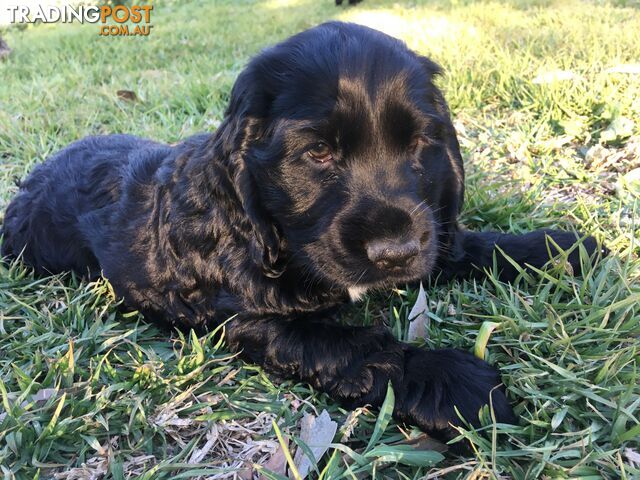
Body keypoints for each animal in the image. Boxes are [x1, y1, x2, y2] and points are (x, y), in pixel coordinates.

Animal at [1, 22, 600, 442]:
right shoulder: (253, 319)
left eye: (418, 145)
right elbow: (355, 345)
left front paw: (558, 247)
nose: (397, 251)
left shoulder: (431, 232)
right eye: (318, 153)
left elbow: (461, 244)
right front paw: (452, 379)